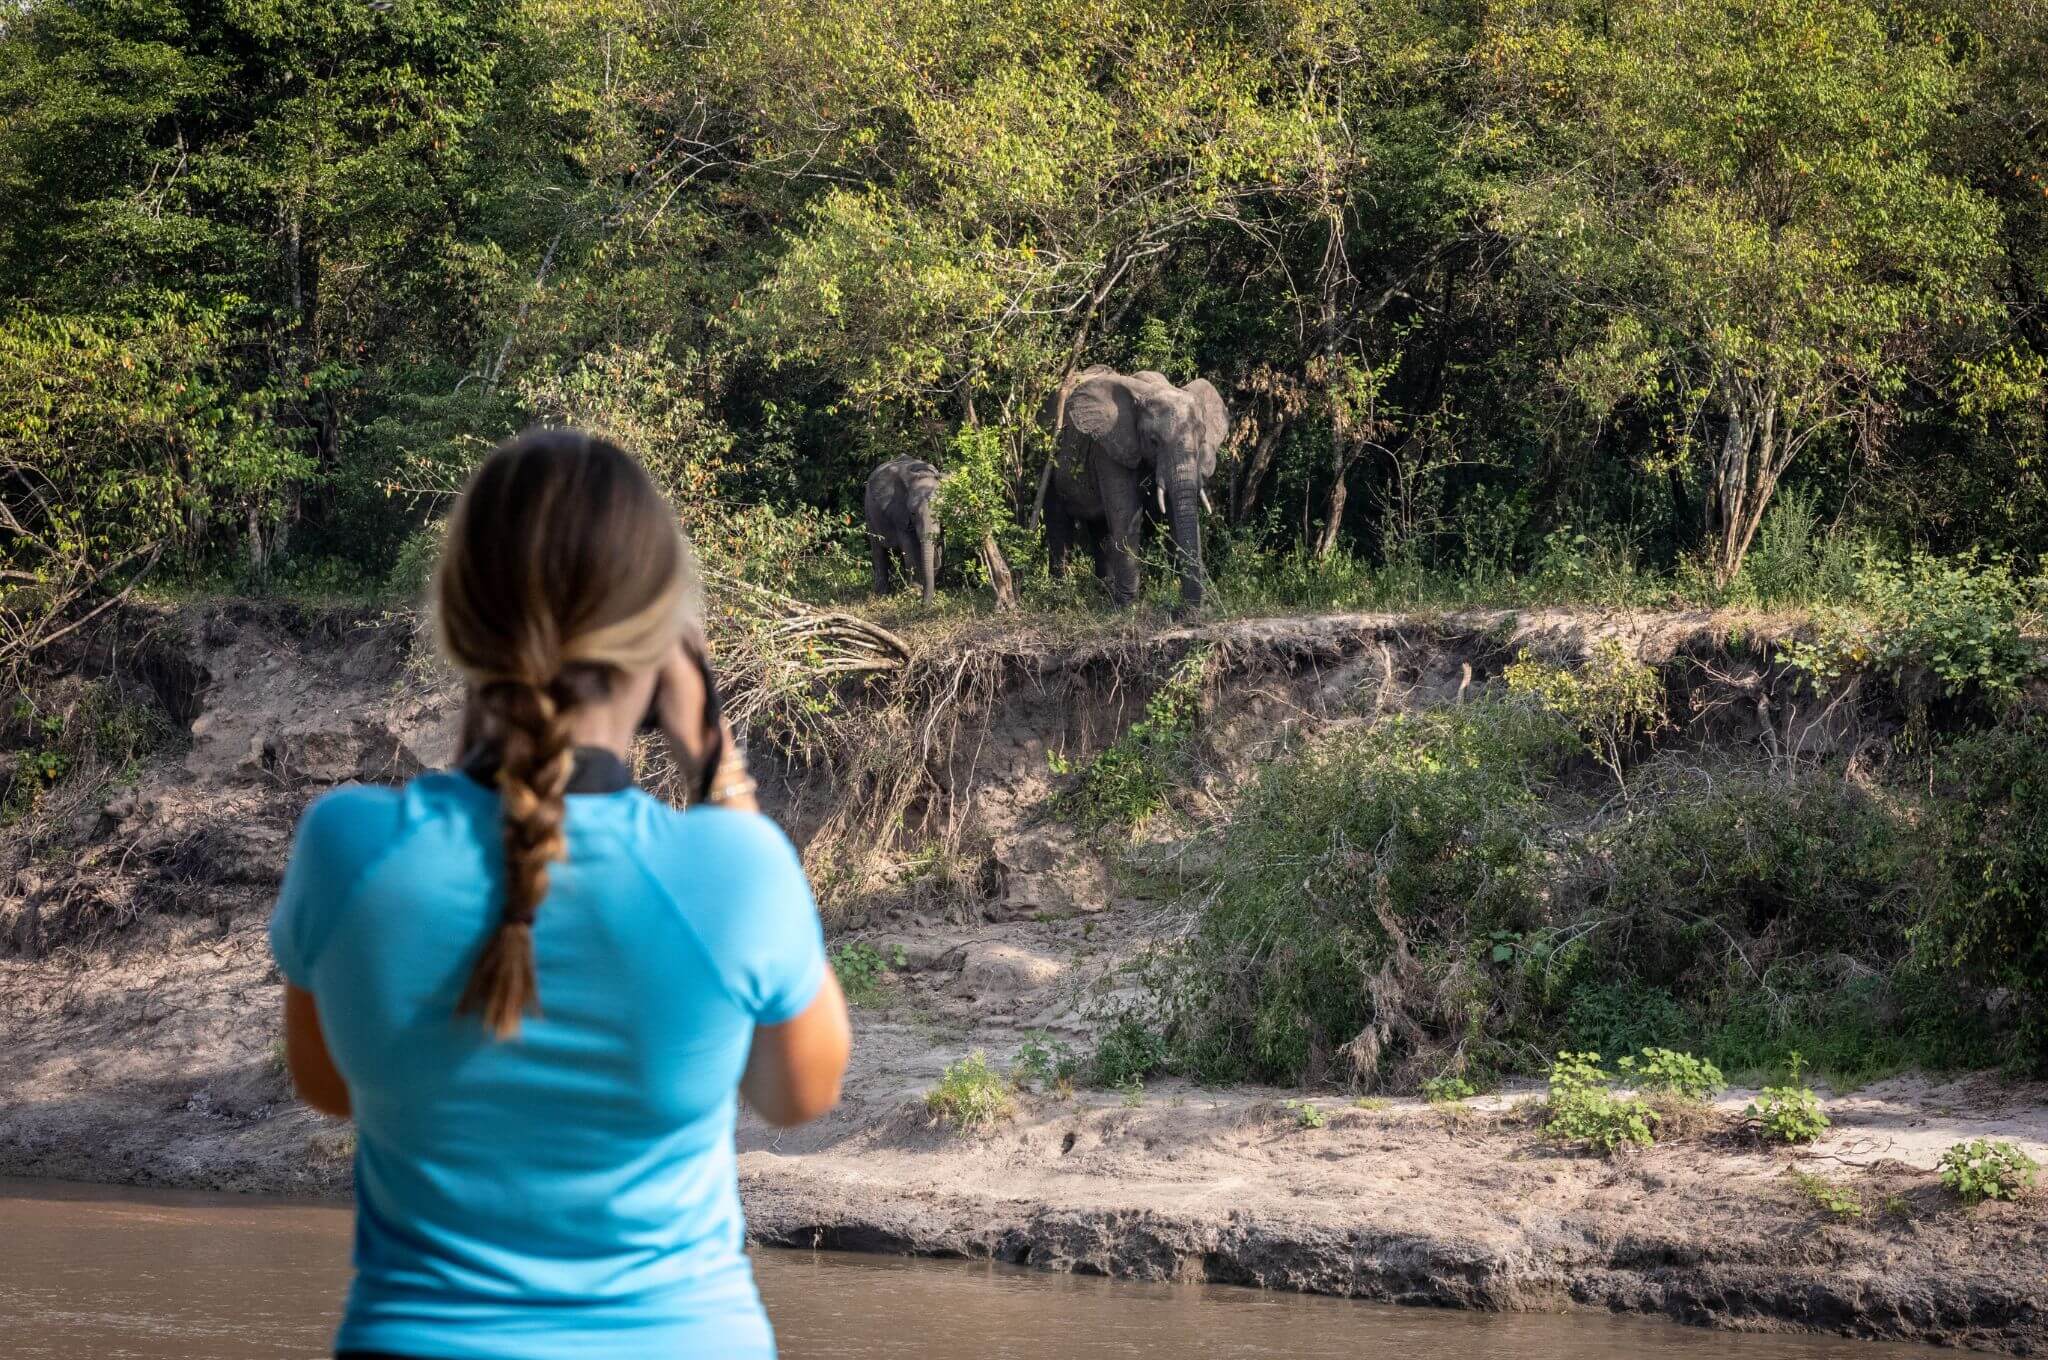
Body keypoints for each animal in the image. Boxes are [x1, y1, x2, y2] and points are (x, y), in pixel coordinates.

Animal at [864, 456, 942, 602]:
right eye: (913, 513)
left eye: (940, 511)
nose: (922, 604)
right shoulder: (899, 514)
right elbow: (909, 546)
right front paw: (915, 592)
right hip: (869, 512)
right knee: (878, 548)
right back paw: (881, 594)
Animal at [1048, 368, 1220, 606]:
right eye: (1154, 441)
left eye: (1202, 440)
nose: (1190, 612)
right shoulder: (1110, 448)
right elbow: (1126, 515)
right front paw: (1127, 607)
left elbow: (1176, 515)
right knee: (1058, 523)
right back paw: (1061, 596)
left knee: (1100, 529)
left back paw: (1104, 591)